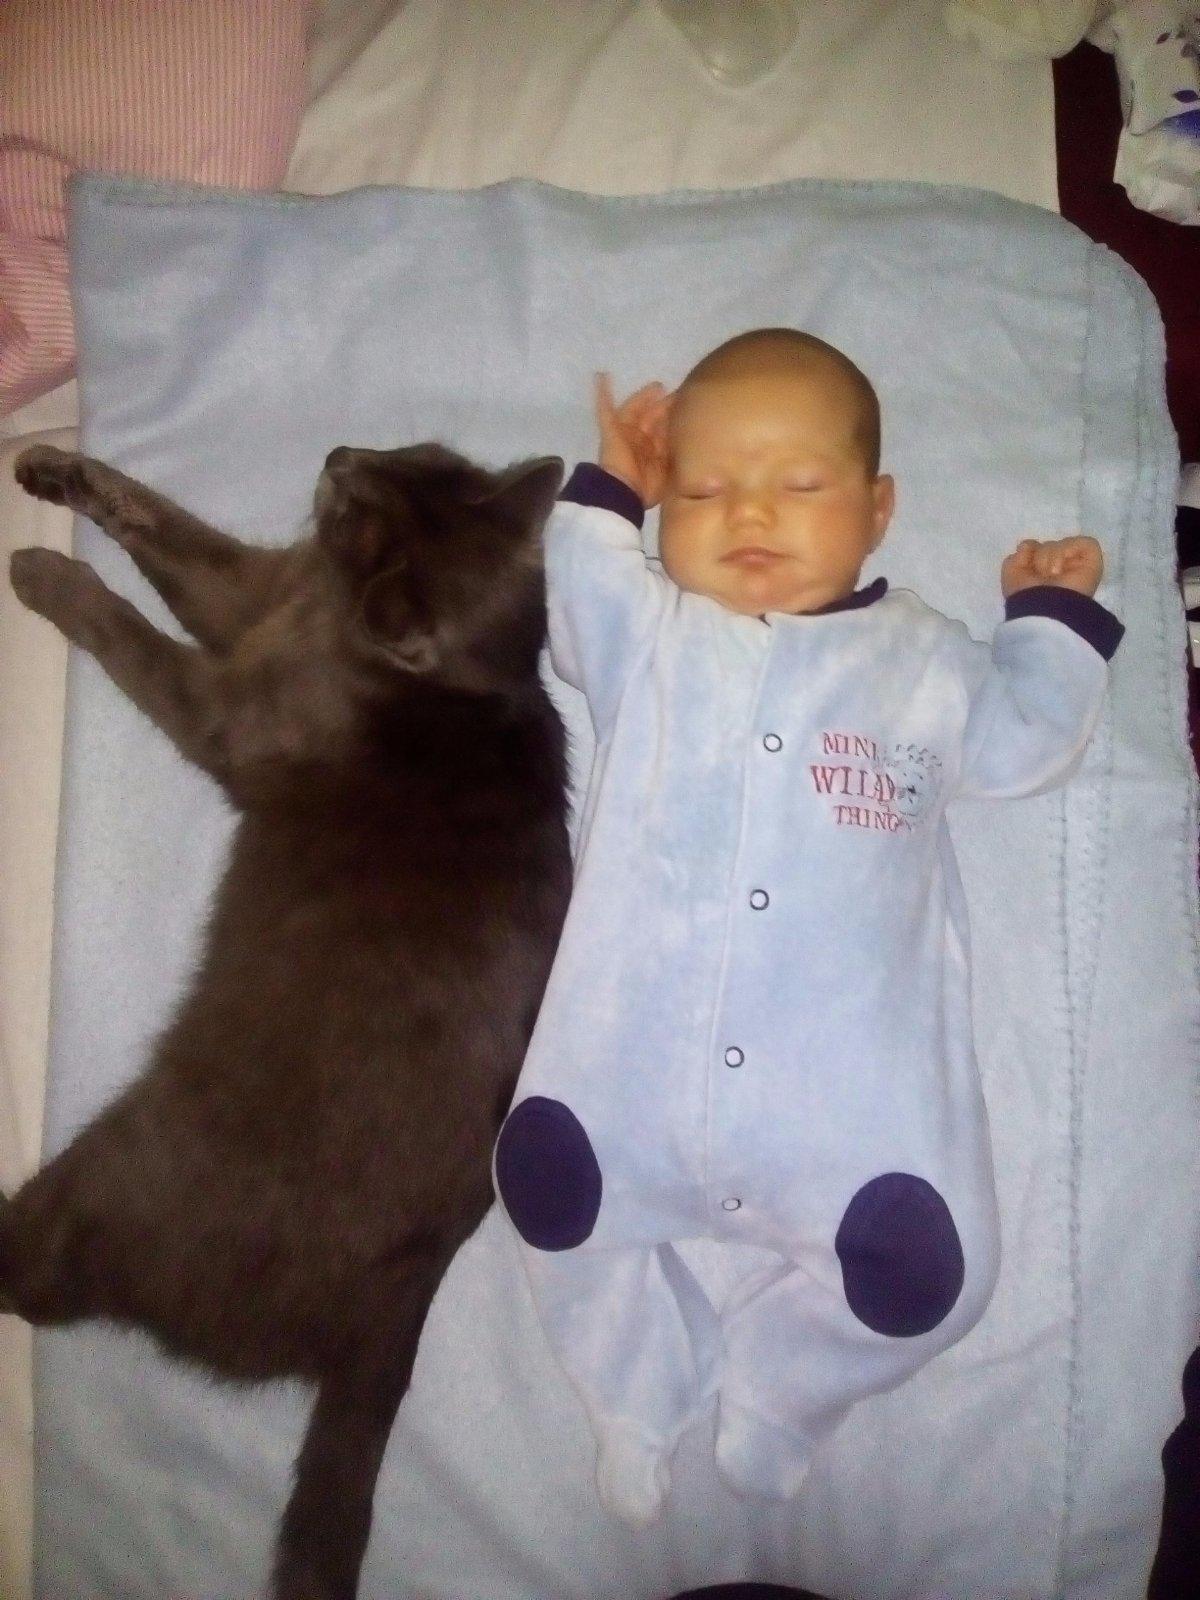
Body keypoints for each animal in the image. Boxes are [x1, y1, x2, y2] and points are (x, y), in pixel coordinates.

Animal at [3, 440, 572, 1600]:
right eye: (414, 455)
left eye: (359, 514)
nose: (340, 455)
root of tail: (398, 1312)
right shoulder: (257, 593)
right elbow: (167, 527)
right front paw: (53, 469)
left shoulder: (222, 702)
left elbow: (131, 629)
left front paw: (44, 572)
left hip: (110, 1175)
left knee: (28, 1279)